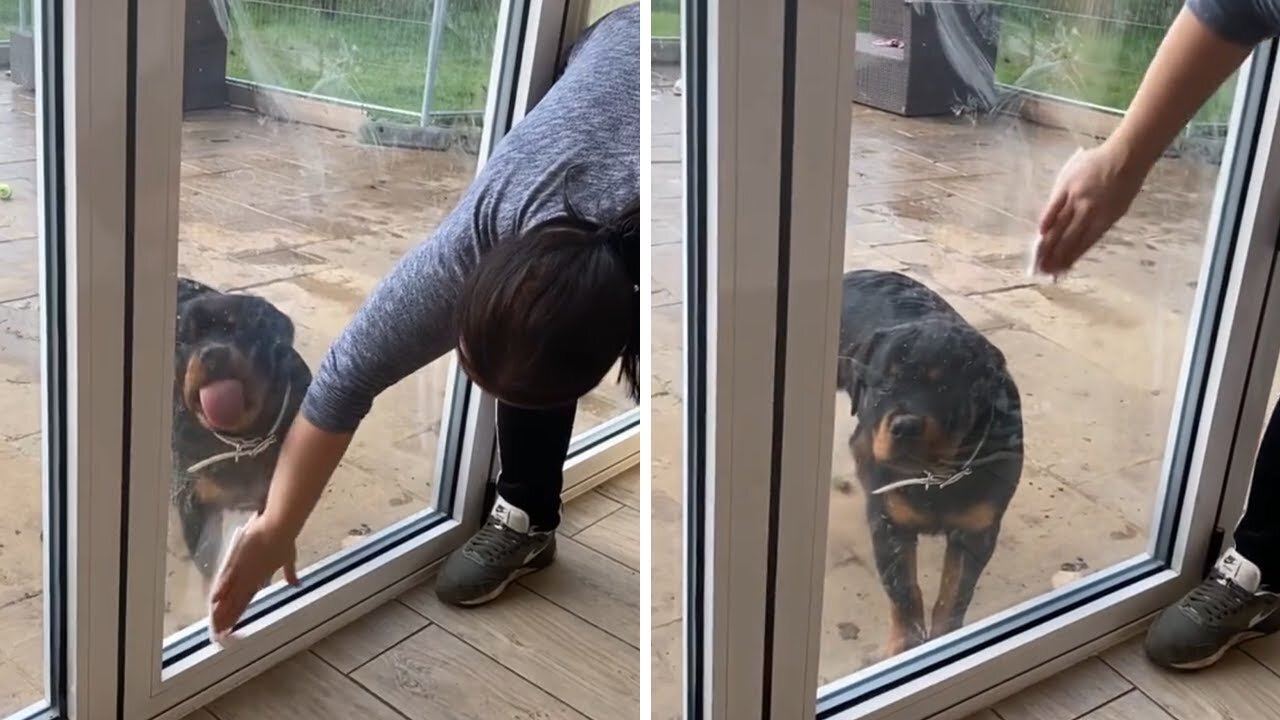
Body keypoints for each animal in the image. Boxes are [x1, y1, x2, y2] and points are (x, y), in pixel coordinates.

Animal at [834, 267, 1024, 650]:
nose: (905, 425)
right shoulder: (890, 526)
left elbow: (954, 596)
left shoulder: (977, 531)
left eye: (945, 388)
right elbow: (905, 592)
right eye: (885, 385)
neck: (935, 476)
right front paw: (905, 644)